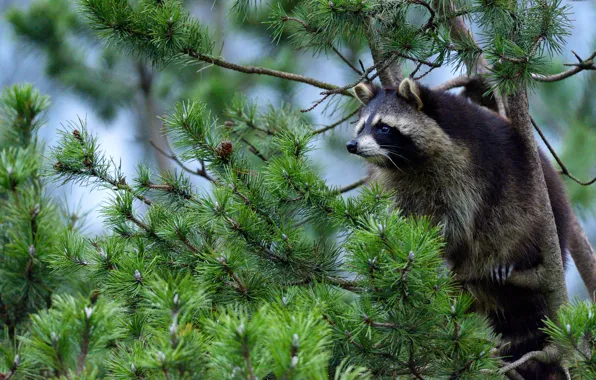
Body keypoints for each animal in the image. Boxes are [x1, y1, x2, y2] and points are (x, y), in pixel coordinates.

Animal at [350, 78, 572, 380]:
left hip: (541, 210)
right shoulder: (399, 183)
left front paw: (444, 253)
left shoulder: (467, 166)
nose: (352, 145)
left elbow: (461, 218)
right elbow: (408, 217)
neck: (409, 162)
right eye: (362, 126)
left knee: (510, 220)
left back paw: (505, 259)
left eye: (383, 127)